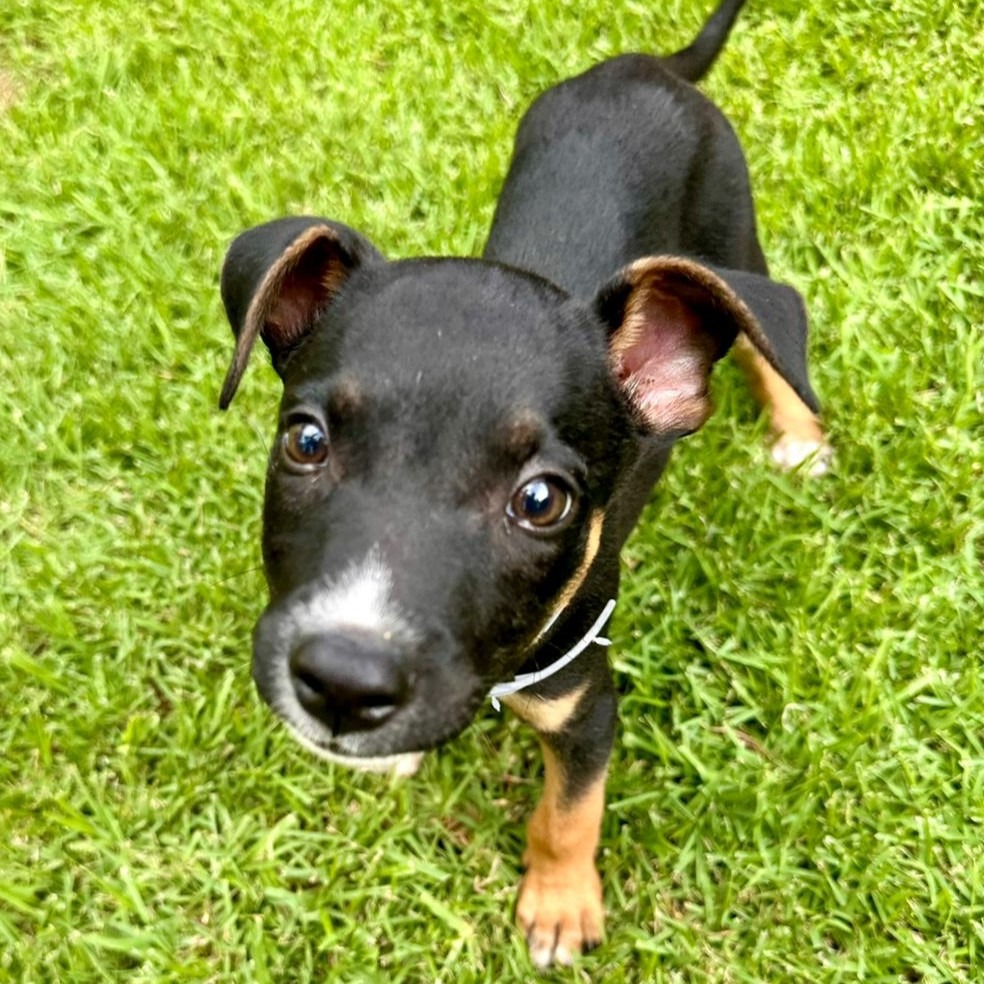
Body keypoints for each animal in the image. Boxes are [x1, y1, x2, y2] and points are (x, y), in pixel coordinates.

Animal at [216, 0, 827, 967]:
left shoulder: (588, 701)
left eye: (542, 501)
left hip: (736, 235)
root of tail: (651, 67)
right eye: (305, 442)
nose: (343, 683)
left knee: (771, 342)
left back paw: (799, 436)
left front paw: (559, 906)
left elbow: (569, 812)